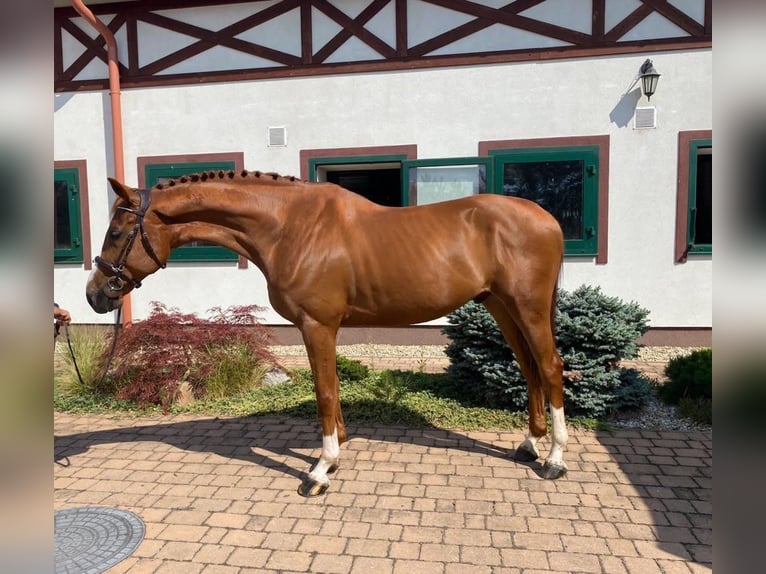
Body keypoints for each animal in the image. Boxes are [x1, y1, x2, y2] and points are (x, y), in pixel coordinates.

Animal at [88, 170, 568, 496]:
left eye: (117, 231)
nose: (94, 295)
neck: (289, 227)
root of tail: (547, 218)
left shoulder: (317, 325)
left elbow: (323, 391)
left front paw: (320, 471)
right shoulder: (323, 328)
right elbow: (333, 387)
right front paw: (334, 456)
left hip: (527, 308)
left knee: (550, 367)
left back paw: (554, 460)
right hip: (500, 306)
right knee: (528, 369)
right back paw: (529, 444)